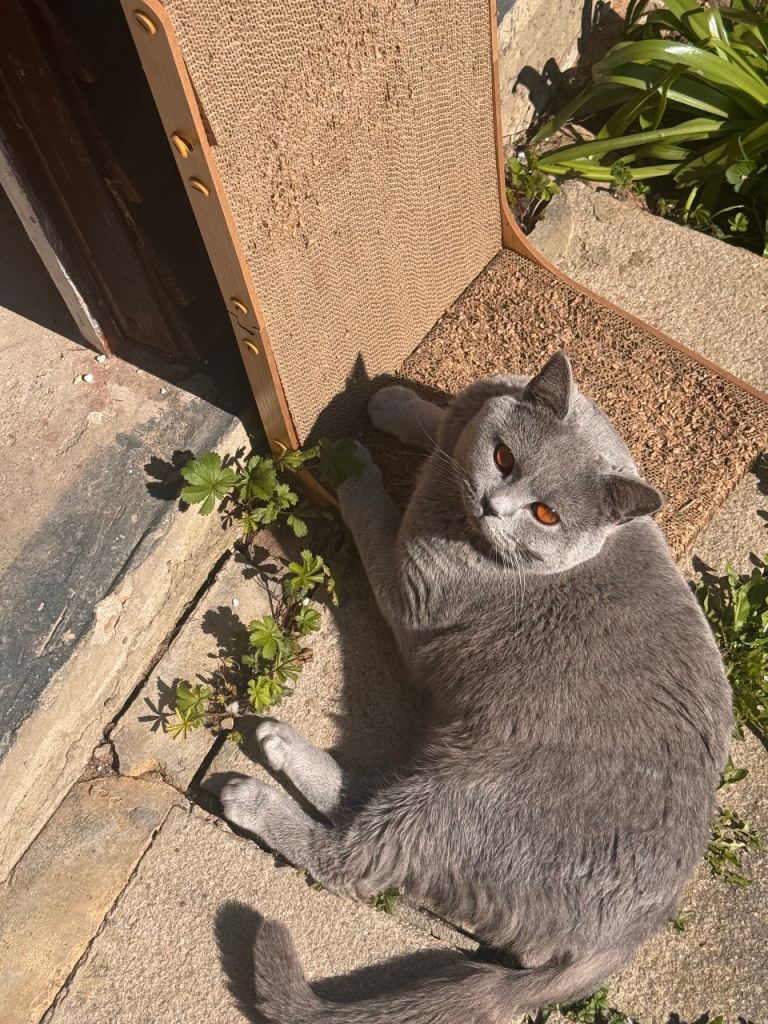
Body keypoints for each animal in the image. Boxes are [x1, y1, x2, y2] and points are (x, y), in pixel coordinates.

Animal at [221, 351, 732, 1023]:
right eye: (504, 456)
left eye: (546, 515)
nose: (493, 503)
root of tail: (622, 941)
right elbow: (445, 422)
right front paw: (394, 404)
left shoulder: (409, 581)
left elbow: (374, 515)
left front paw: (354, 461)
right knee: (363, 804)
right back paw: (278, 745)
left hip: (471, 798)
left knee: (354, 861)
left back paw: (250, 786)